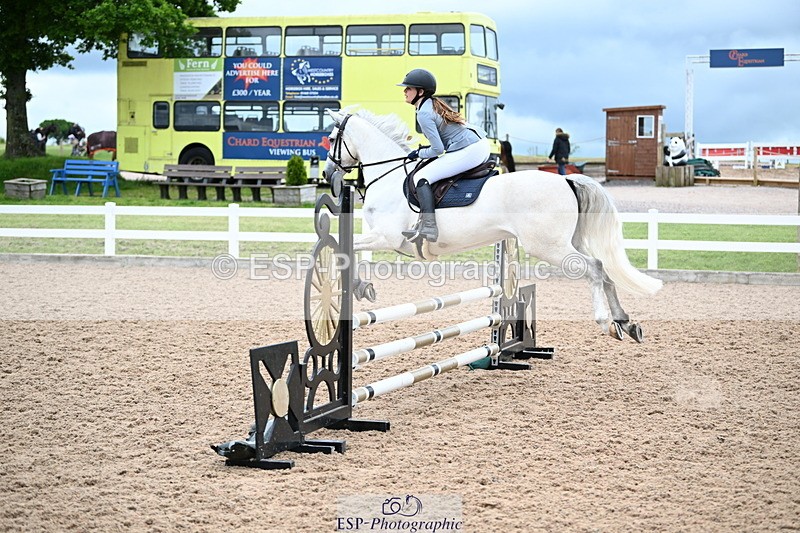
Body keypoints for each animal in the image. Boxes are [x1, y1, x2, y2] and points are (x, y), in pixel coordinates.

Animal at [322, 109, 662, 342]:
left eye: (332, 139)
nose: (327, 174)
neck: (389, 175)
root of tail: (566, 180)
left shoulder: (387, 237)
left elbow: (348, 251)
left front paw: (358, 285)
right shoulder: (383, 237)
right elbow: (352, 251)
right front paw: (362, 287)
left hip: (549, 246)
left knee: (593, 268)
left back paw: (606, 322)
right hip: (569, 242)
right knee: (604, 269)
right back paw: (625, 322)